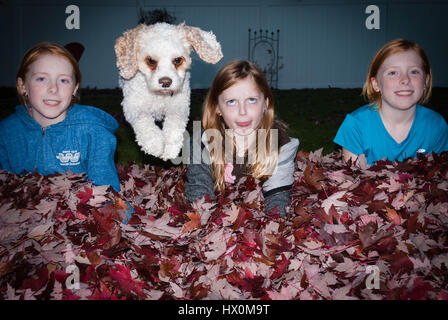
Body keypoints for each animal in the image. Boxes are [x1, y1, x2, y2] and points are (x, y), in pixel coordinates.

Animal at [114, 23, 222, 160]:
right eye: (151, 60)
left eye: (177, 60)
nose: (165, 82)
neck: (160, 95)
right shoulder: (133, 105)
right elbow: (144, 122)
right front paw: (155, 144)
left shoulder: (179, 105)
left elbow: (174, 124)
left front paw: (170, 150)